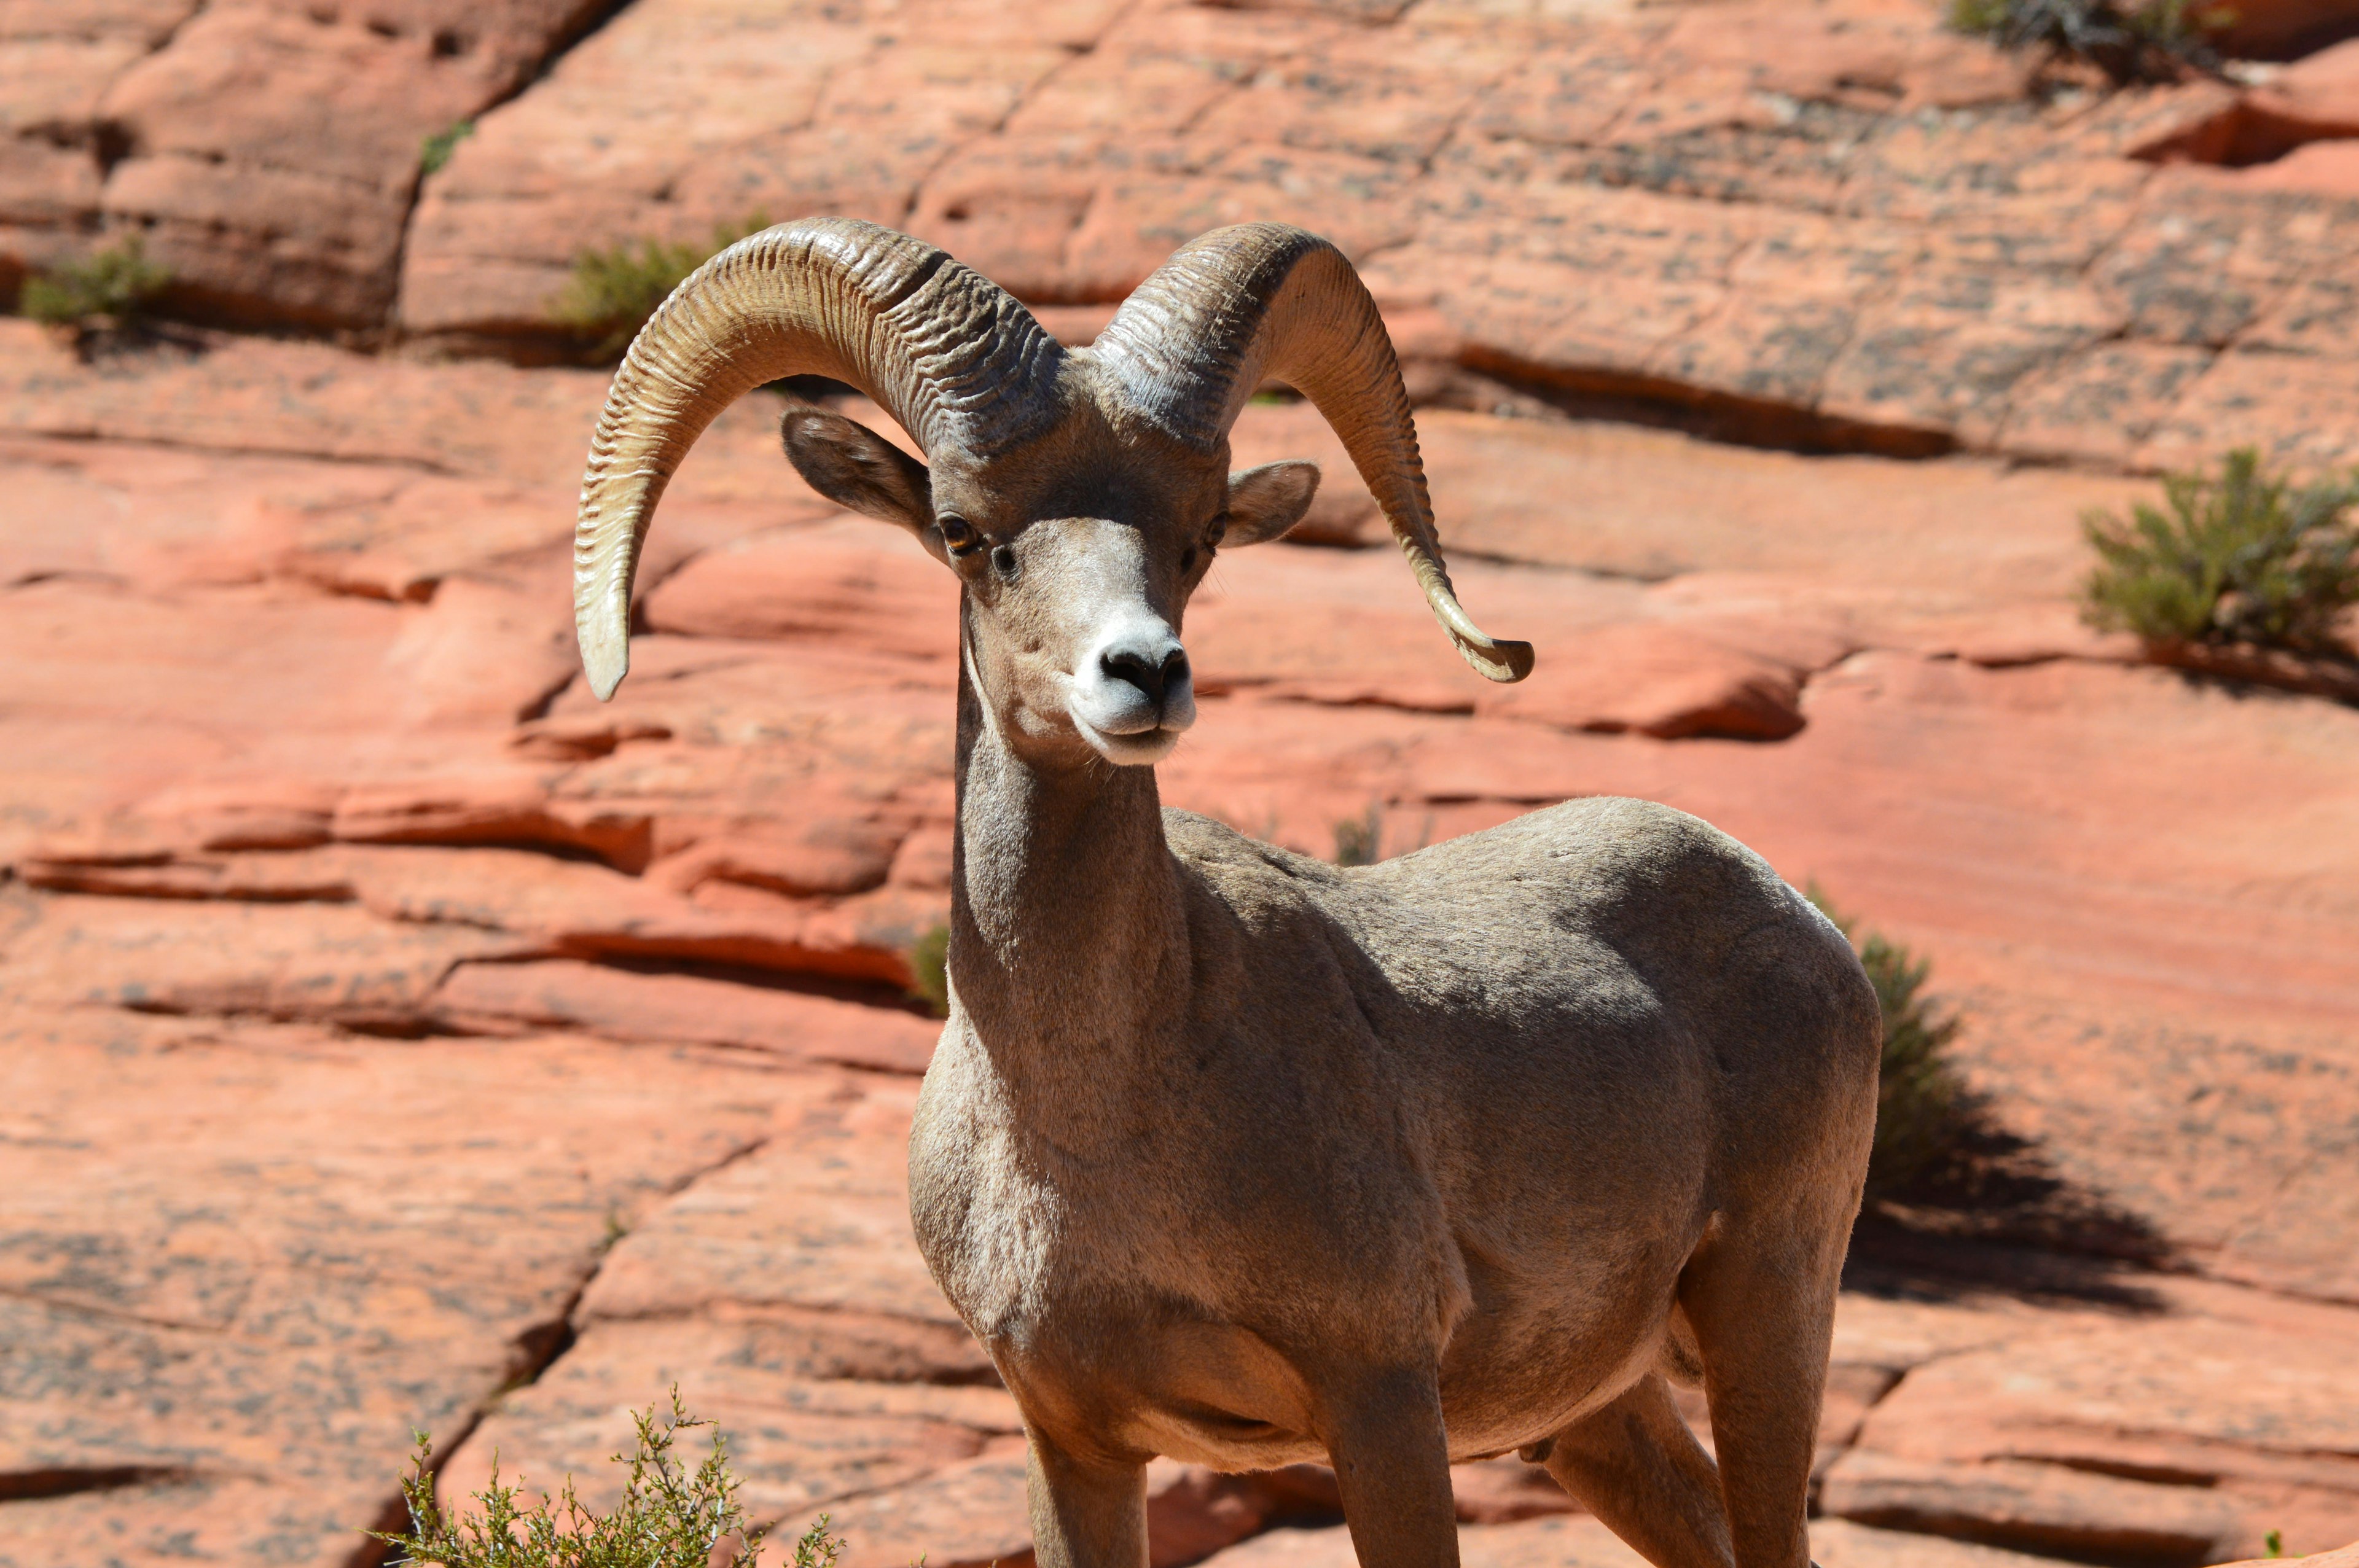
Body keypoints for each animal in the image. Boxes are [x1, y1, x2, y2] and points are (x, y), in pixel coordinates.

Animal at [566, 217, 1877, 1566]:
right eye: (965, 531)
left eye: (1194, 538)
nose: (1144, 673)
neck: (1095, 1115)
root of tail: (1805, 922)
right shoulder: (1074, 1438)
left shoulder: (1381, 1397)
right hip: (1594, 1417)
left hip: (1769, 1312)